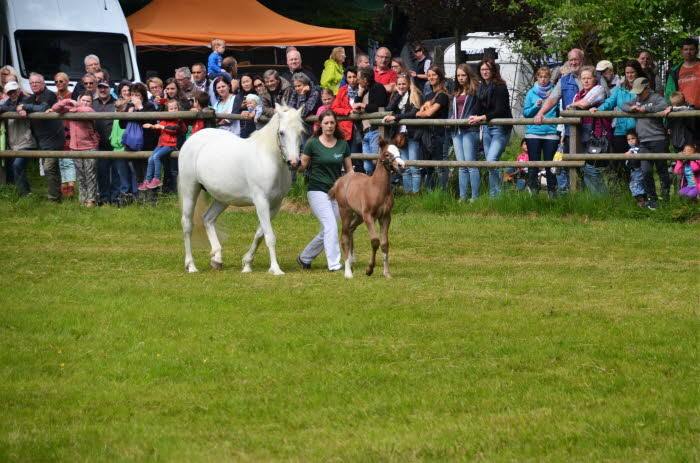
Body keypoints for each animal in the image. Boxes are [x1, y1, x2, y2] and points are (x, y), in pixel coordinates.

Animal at [178, 105, 304, 276]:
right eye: (281, 132)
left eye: (301, 132)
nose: (294, 162)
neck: (267, 158)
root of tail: (192, 139)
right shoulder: (261, 202)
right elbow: (270, 237)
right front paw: (276, 269)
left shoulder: (275, 205)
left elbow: (260, 234)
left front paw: (247, 264)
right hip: (190, 189)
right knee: (187, 224)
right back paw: (191, 266)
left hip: (222, 198)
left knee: (208, 219)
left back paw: (217, 259)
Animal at [328, 139, 404, 280]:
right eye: (387, 154)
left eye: (399, 152)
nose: (402, 165)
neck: (377, 188)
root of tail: (340, 180)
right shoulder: (369, 216)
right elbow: (375, 241)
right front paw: (369, 269)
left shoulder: (386, 217)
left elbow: (384, 244)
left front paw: (387, 273)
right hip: (345, 211)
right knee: (344, 236)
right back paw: (348, 272)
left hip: (358, 216)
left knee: (351, 230)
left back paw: (351, 262)